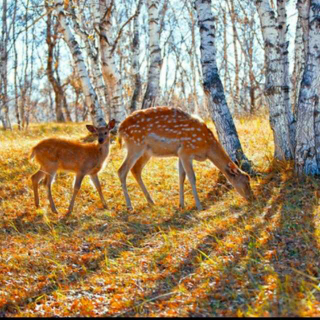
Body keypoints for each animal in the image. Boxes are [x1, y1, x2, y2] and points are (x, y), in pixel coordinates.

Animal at [118, 106, 255, 210]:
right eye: (246, 182)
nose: (251, 197)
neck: (207, 147)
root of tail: (120, 128)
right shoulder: (186, 151)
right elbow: (192, 178)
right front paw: (199, 206)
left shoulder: (180, 153)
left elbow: (181, 177)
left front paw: (181, 205)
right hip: (135, 145)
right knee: (122, 170)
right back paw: (130, 206)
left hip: (147, 151)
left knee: (135, 169)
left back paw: (151, 201)